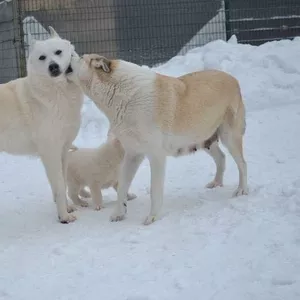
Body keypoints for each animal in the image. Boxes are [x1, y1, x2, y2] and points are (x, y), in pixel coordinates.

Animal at [0, 27, 84, 223]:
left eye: (58, 52)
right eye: (42, 57)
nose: (53, 67)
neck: (58, 93)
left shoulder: (63, 150)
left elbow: (60, 182)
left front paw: (67, 208)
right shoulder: (50, 152)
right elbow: (59, 186)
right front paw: (64, 217)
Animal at [68, 53, 248, 225]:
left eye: (79, 57)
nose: (70, 54)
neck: (122, 95)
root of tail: (233, 79)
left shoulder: (156, 156)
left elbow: (154, 191)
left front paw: (152, 217)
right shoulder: (132, 154)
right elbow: (122, 187)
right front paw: (119, 213)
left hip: (229, 138)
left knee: (242, 164)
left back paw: (242, 190)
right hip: (204, 142)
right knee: (221, 157)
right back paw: (216, 183)